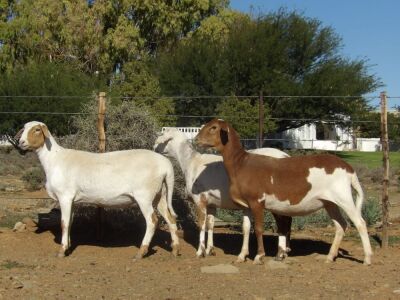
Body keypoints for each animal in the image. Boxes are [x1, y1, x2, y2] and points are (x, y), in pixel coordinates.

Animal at [14, 120, 179, 258]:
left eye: (37, 129)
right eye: (23, 129)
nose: (20, 142)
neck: (54, 160)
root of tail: (166, 166)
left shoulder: (65, 196)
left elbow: (64, 223)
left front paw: (61, 251)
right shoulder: (72, 200)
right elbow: (70, 222)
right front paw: (68, 247)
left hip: (144, 195)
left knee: (152, 221)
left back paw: (141, 252)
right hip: (160, 194)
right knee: (170, 219)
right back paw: (175, 249)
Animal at [152, 127, 288, 260]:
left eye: (162, 134)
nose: (154, 148)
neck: (191, 161)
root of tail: (285, 155)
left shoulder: (199, 200)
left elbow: (201, 225)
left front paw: (200, 252)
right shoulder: (212, 203)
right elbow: (210, 224)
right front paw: (210, 250)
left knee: (283, 223)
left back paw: (281, 253)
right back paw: (283, 252)